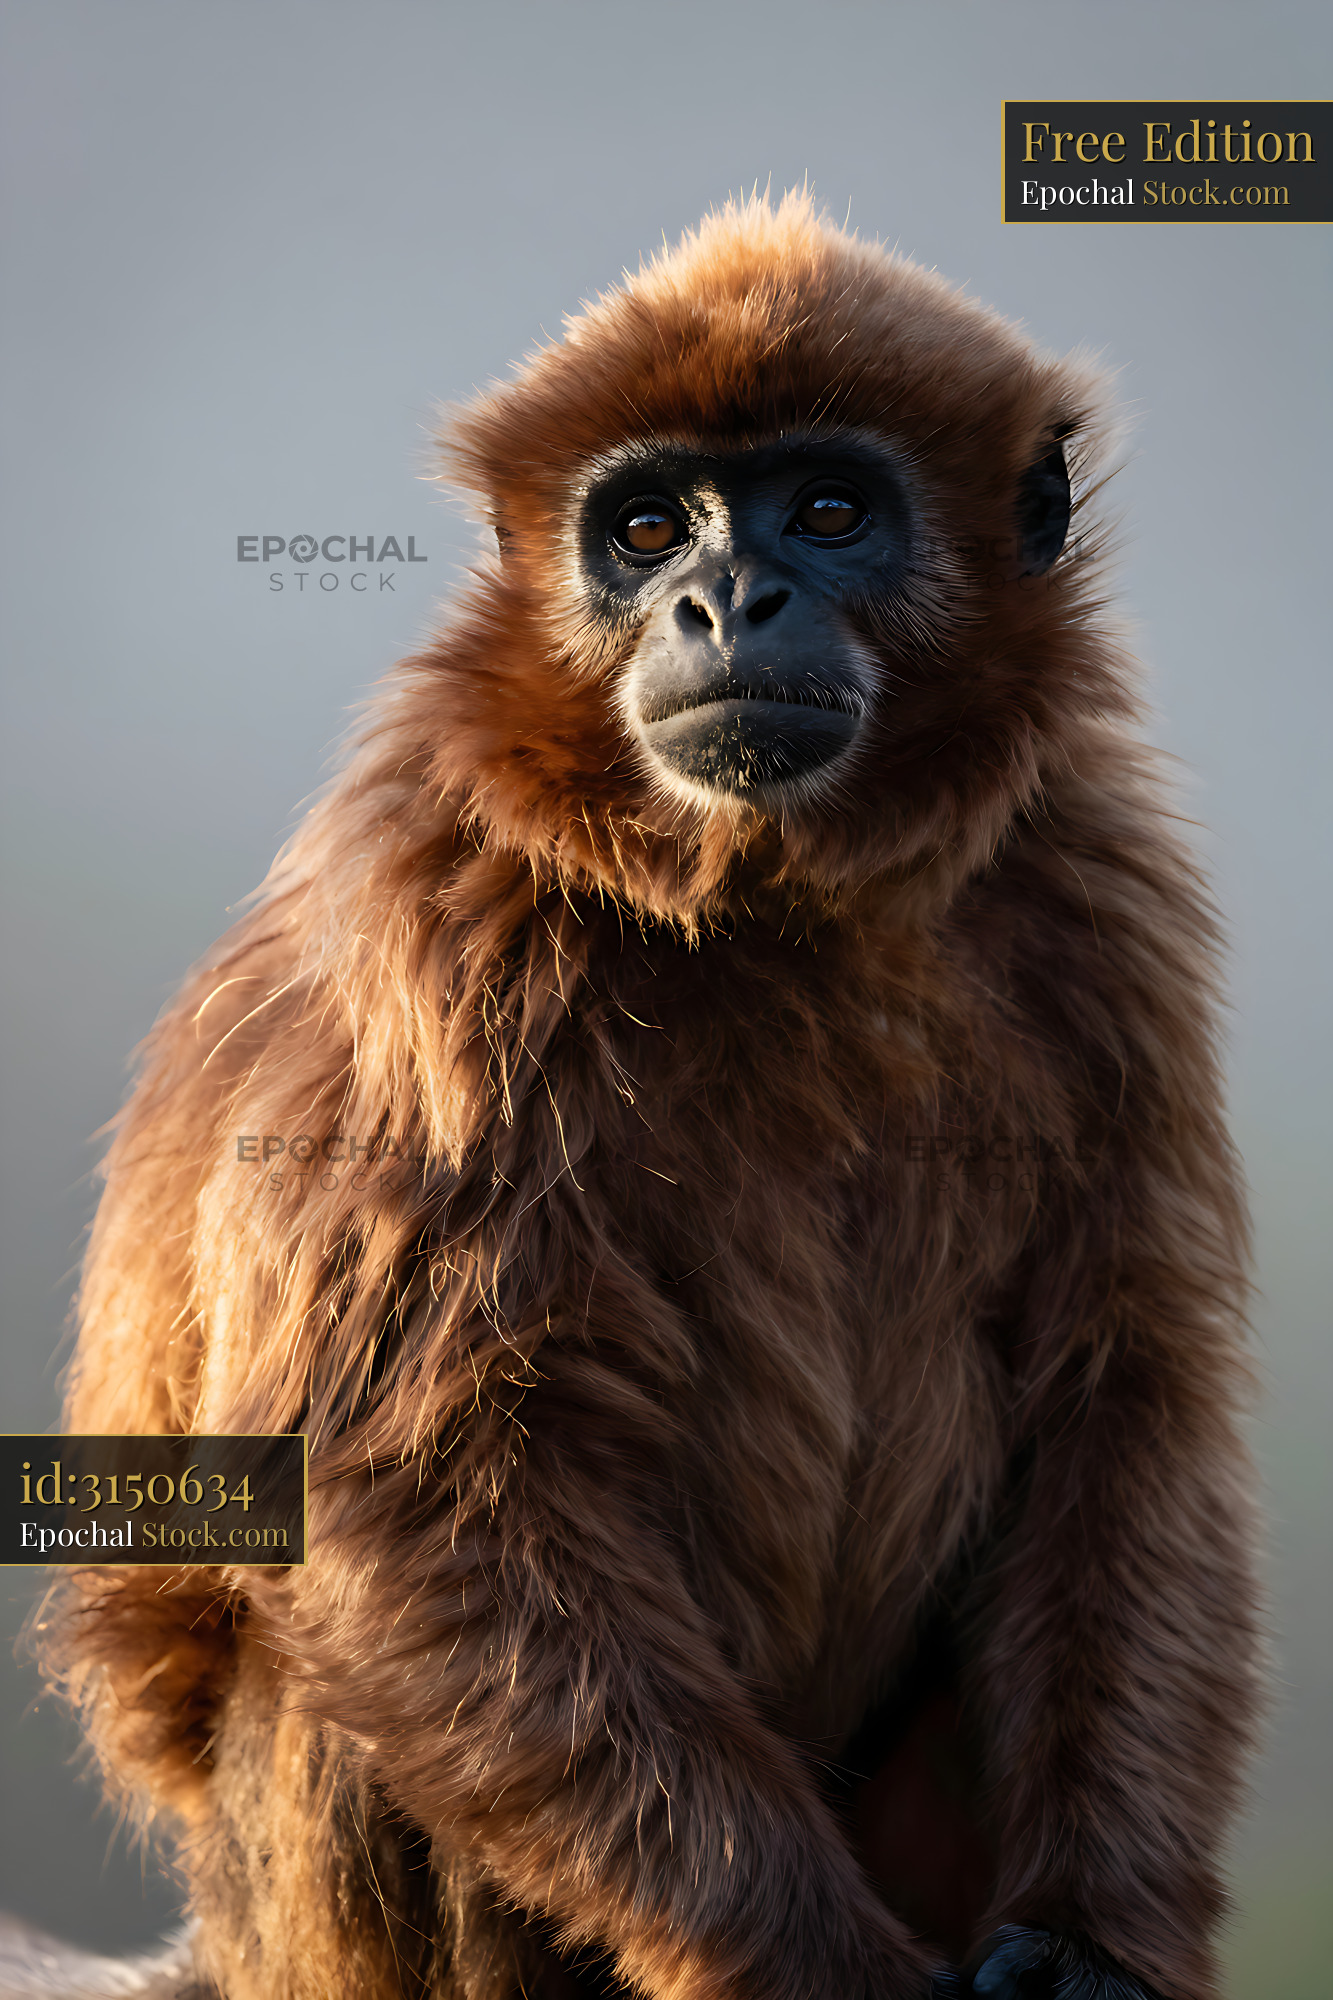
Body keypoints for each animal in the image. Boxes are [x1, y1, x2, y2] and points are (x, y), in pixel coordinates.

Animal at [39, 193, 1263, 2000]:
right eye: (641, 529)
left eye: (826, 510)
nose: (727, 598)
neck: (783, 902)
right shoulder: (439, 915)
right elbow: (396, 1494)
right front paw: (833, 1975)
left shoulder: (1094, 895)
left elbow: (1124, 1404)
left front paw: (1084, 1946)